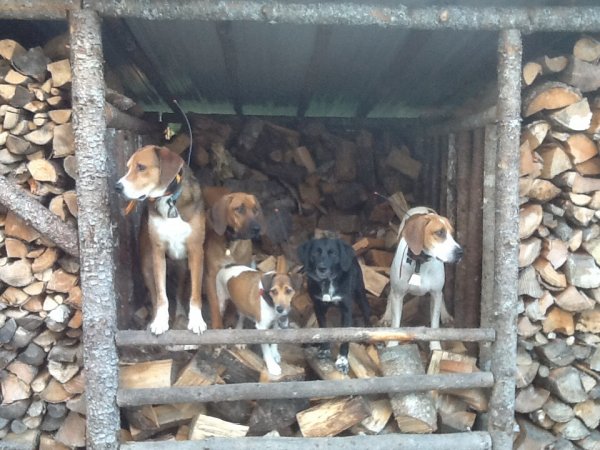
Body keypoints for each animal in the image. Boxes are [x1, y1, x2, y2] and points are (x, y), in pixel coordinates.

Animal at [116, 147, 207, 334]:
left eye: (141, 167)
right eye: (128, 168)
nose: (117, 187)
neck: (169, 199)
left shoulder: (196, 250)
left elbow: (195, 293)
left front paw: (196, 321)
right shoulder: (157, 252)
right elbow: (161, 295)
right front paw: (160, 322)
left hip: (182, 266)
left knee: (179, 294)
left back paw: (180, 316)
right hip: (147, 265)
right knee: (154, 294)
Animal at [204, 192, 262, 328]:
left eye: (255, 209)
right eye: (239, 209)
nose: (257, 228)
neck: (230, 244)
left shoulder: (239, 271)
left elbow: (232, 300)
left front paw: (230, 319)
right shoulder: (211, 277)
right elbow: (215, 304)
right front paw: (217, 326)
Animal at [296, 237, 368, 374]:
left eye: (333, 253)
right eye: (315, 253)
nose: (322, 268)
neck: (327, 283)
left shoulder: (347, 310)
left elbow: (345, 337)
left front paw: (342, 361)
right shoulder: (318, 308)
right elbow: (323, 329)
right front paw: (324, 349)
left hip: (360, 293)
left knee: (367, 312)